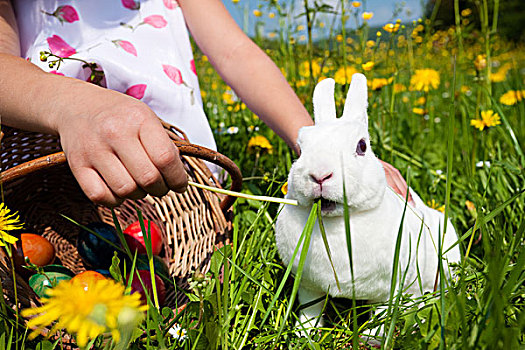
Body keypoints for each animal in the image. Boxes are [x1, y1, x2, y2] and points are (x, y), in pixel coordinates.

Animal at [274, 74, 458, 336]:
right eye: (300, 150)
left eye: (362, 146)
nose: (320, 175)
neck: (337, 222)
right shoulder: (309, 287)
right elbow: (311, 311)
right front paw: (304, 333)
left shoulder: (387, 290)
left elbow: (381, 315)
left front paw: (371, 336)